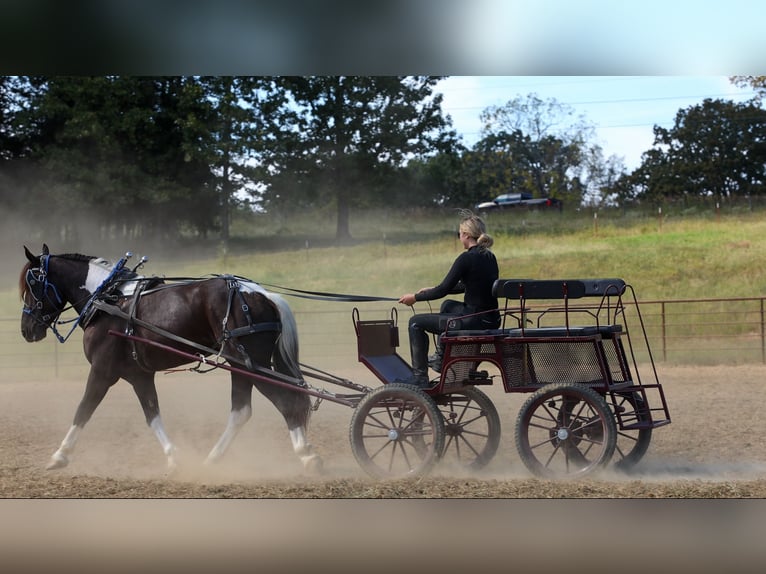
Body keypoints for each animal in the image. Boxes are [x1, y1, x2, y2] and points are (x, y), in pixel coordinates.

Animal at [19, 244, 322, 474]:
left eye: (31, 285)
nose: (26, 330)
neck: (107, 300)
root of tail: (263, 294)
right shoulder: (139, 375)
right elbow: (152, 414)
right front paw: (174, 457)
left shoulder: (102, 371)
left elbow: (83, 410)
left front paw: (60, 455)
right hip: (241, 364)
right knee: (242, 411)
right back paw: (213, 458)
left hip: (250, 363)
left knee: (285, 401)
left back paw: (305, 454)